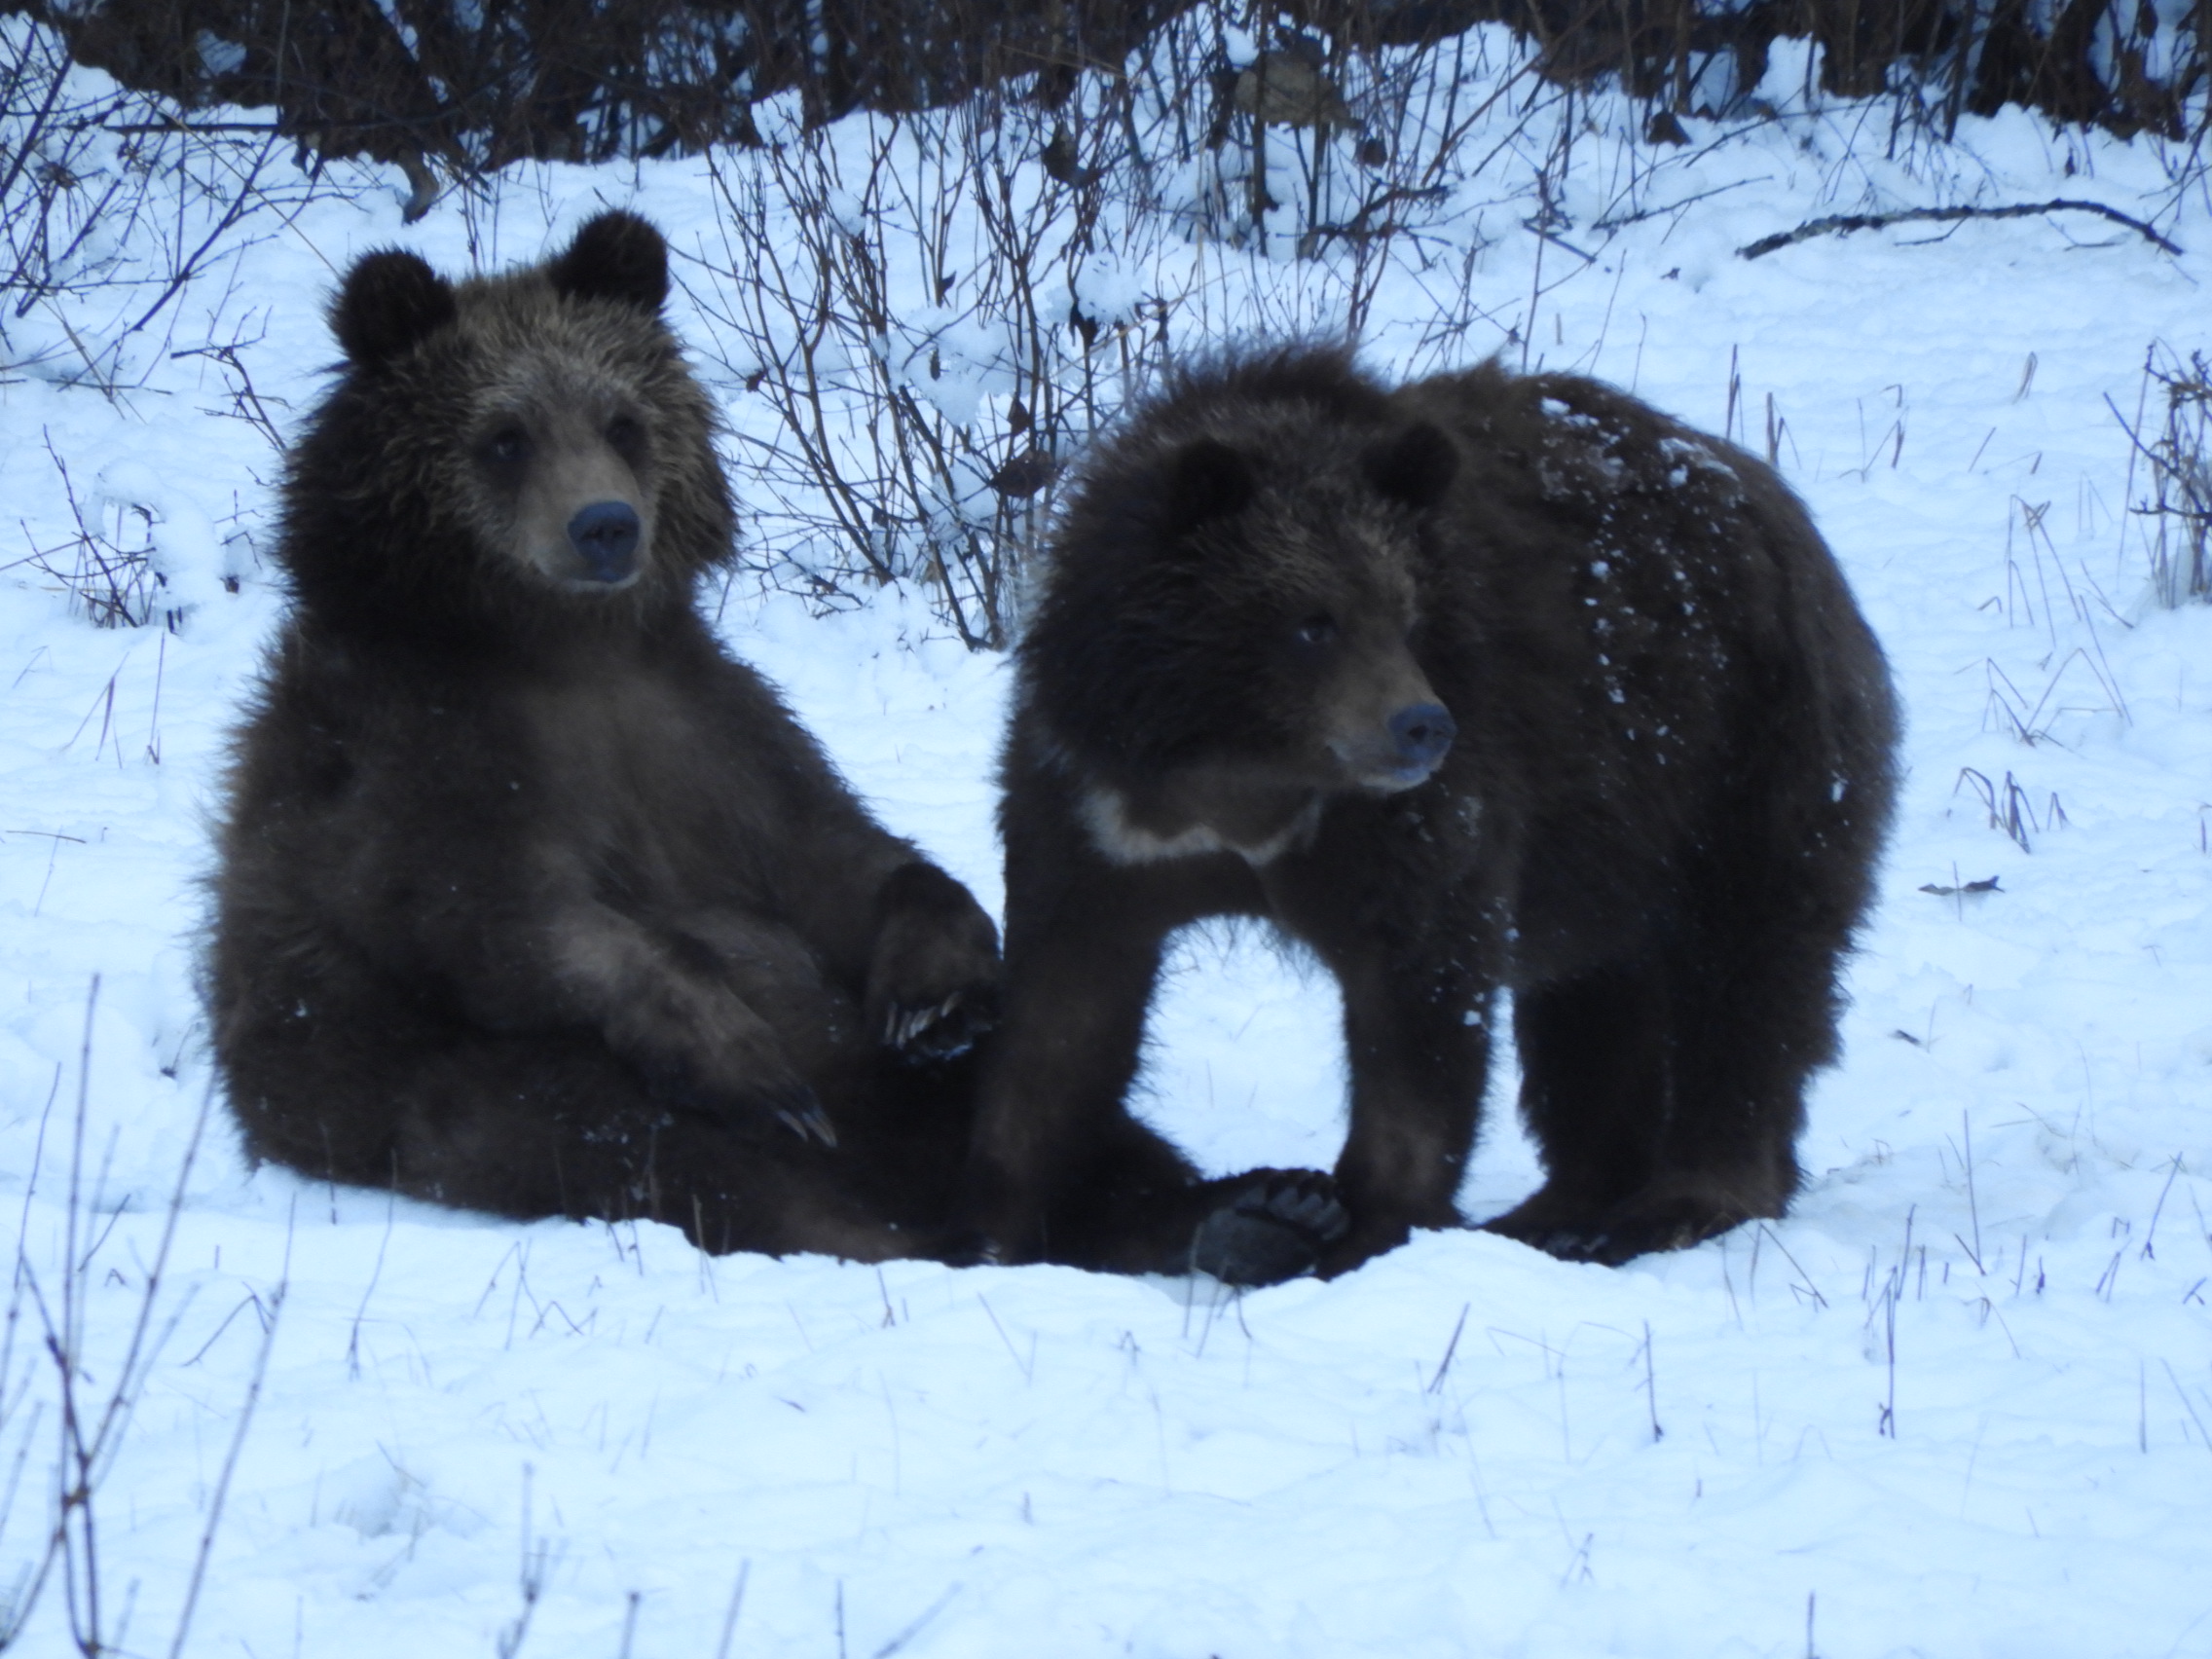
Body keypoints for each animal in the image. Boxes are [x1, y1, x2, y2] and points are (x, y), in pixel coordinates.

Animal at [209, 213, 1346, 1281]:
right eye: (504, 435)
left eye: (621, 420)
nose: (605, 526)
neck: (556, 647)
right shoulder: (407, 750)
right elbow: (494, 913)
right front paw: (748, 1055)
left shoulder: (702, 733)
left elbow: (839, 858)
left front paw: (932, 994)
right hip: (457, 1083)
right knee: (663, 1154)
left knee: (1065, 1111)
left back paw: (1249, 1214)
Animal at [956, 343, 1899, 1276]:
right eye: (1314, 622)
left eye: (1403, 615)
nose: (1420, 726)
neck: (1240, 773)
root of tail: (1772, 500)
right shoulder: (1097, 813)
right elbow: (1066, 1012)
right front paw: (1013, 1209)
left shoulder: (1408, 821)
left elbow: (1417, 1003)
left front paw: (1362, 1219)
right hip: (1614, 838)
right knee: (1597, 1001)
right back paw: (1562, 1207)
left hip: (1738, 755)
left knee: (1747, 970)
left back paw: (1687, 1197)